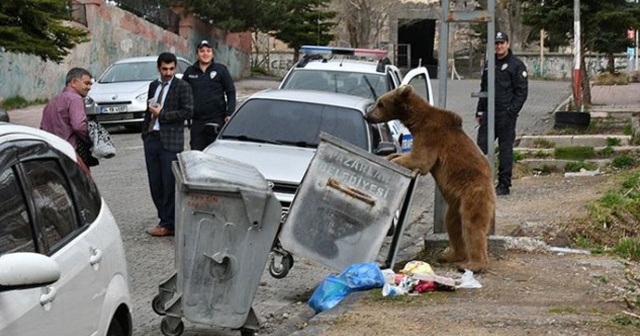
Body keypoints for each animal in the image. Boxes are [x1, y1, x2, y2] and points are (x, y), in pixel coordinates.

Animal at [364, 84, 496, 272]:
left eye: (380, 103)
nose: (368, 116)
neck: (416, 121)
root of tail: (492, 190)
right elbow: (408, 156)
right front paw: (391, 156)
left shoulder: (430, 136)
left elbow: (420, 160)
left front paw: (394, 160)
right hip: (455, 204)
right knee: (453, 225)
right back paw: (450, 255)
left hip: (473, 193)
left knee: (472, 226)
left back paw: (472, 264)